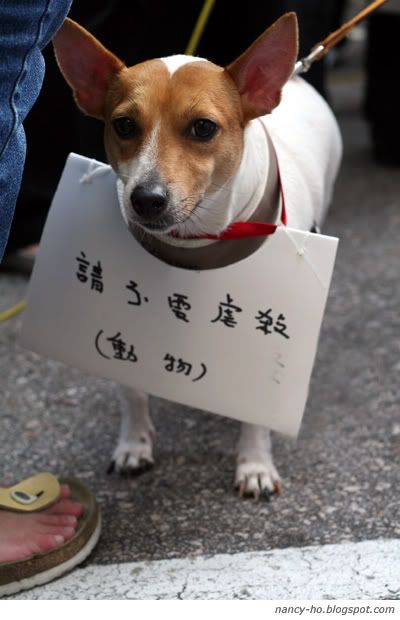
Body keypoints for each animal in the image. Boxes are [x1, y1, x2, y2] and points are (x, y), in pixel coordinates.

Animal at [52, 13, 340, 498]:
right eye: (123, 125)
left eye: (203, 128)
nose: (146, 199)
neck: (194, 242)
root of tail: (297, 76)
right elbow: (131, 390)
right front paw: (134, 444)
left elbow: (257, 407)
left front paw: (254, 463)